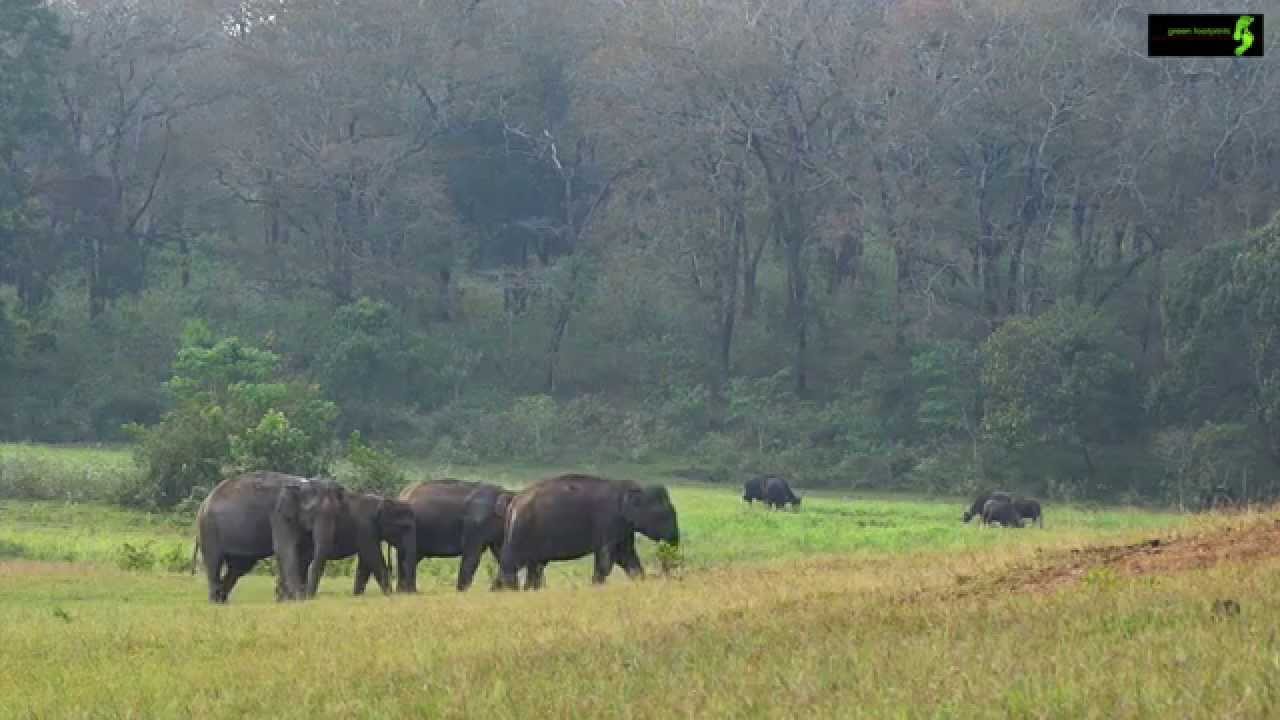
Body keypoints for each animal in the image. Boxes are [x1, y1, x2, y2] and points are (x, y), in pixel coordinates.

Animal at [194, 468, 348, 602]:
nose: (310, 597)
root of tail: (204, 502)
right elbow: (286, 550)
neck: (302, 484)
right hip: (208, 529)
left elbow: (304, 553)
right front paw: (297, 598)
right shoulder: (278, 515)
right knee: (214, 562)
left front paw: (287, 599)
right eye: (311, 512)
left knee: (239, 567)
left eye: (338, 513)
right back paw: (215, 601)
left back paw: (222, 600)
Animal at [496, 471, 686, 589]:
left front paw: (640, 581)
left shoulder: (623, 528)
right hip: (521, 531)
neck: (633, 489)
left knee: (534, 566)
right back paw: (511, 591)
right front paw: (596, 586)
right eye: (664, 515)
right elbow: (606, 559)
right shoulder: (608, 521)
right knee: (511, 564)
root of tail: (514, 502)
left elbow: (626, 556)